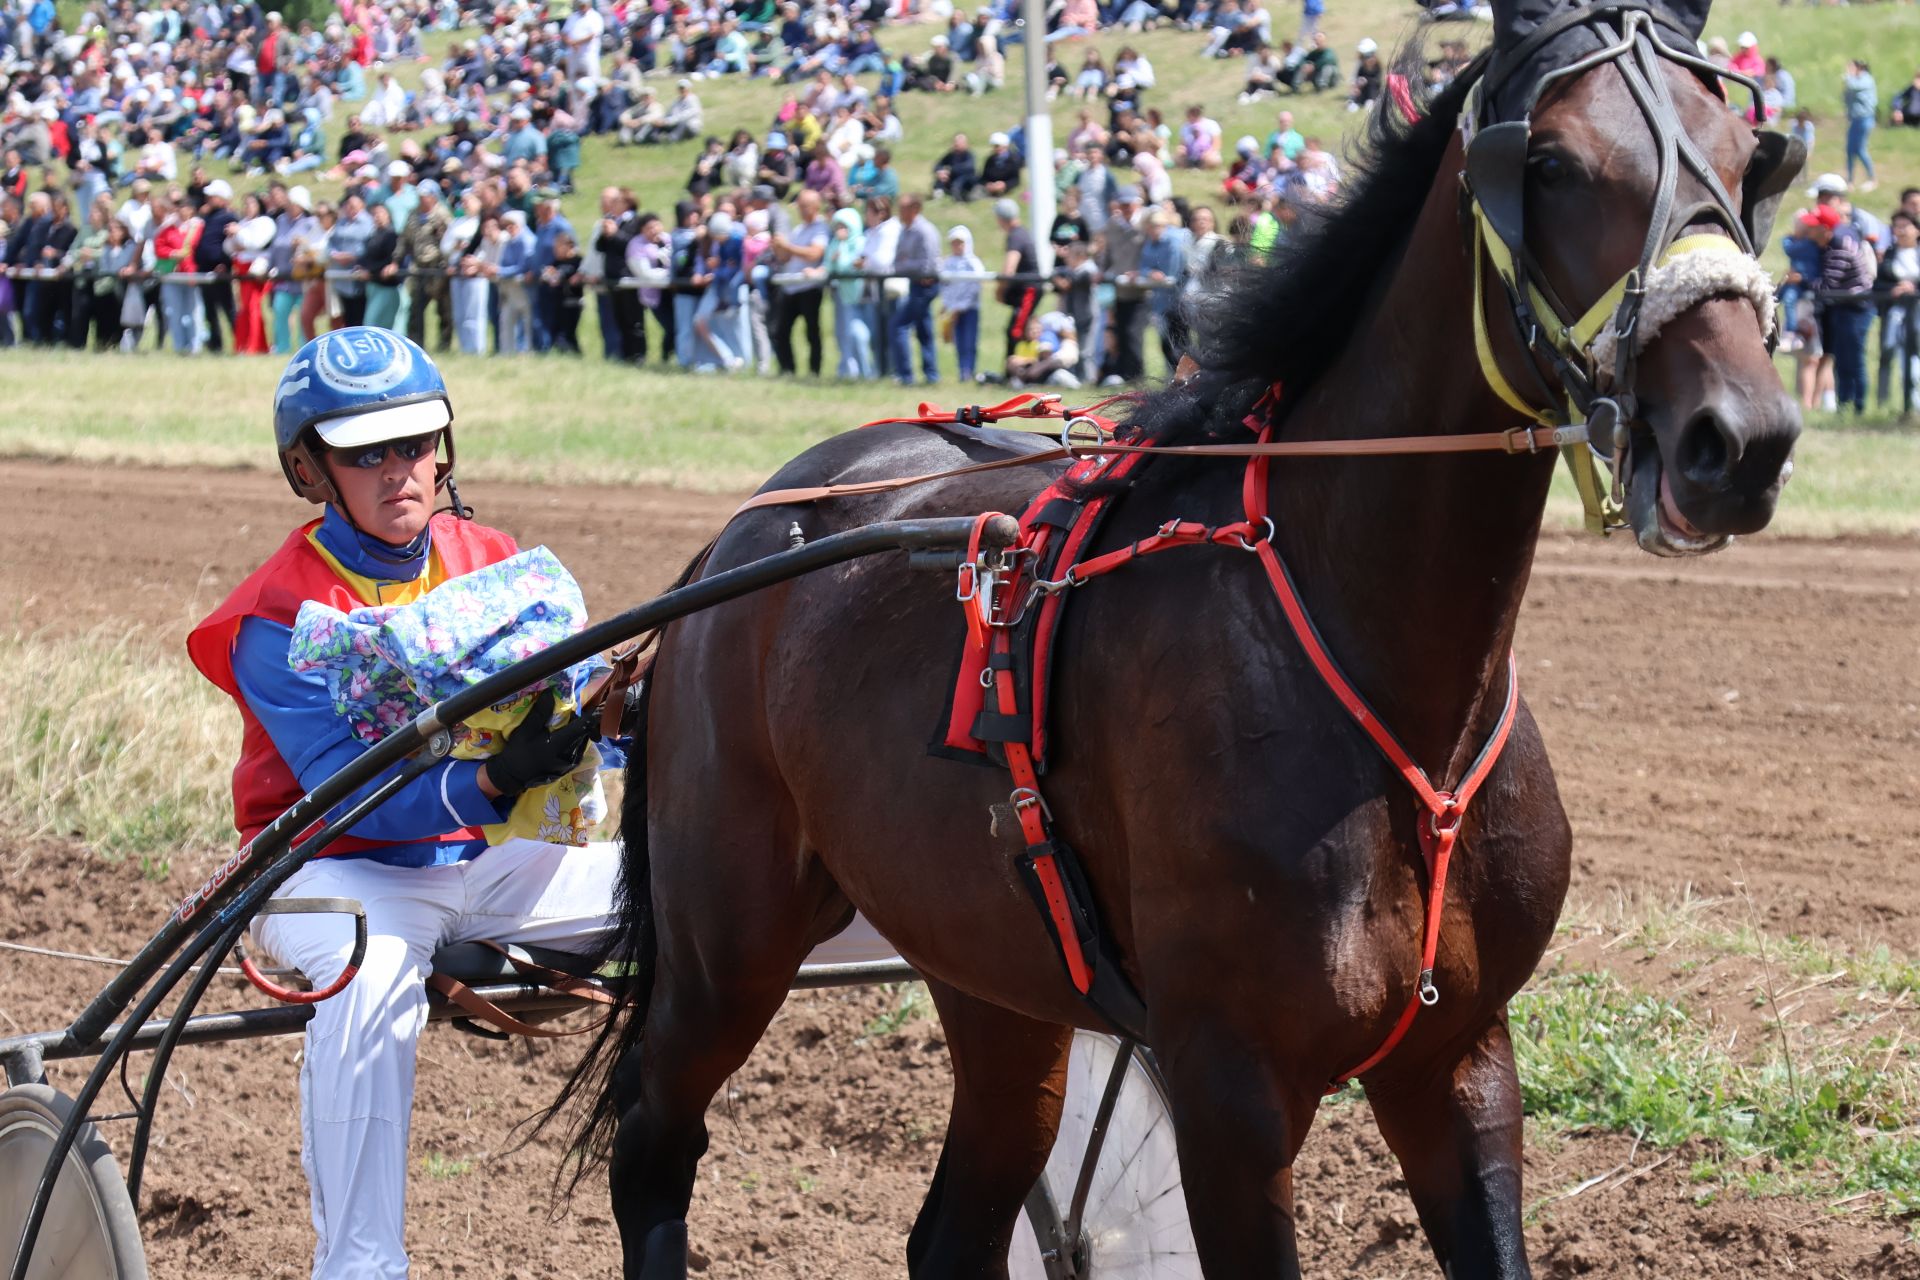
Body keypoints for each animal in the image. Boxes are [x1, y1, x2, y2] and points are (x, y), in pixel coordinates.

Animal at [556, 5, 1797, 1274]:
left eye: (1752, 157)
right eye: (1546, 162)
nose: (1737, 438)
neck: (1391, 686)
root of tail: (748, 530)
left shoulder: (1458, 1057)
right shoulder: (1232, 1088)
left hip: (992, 959)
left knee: (957, 1217)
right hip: (728, 940)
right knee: (655, 1142)